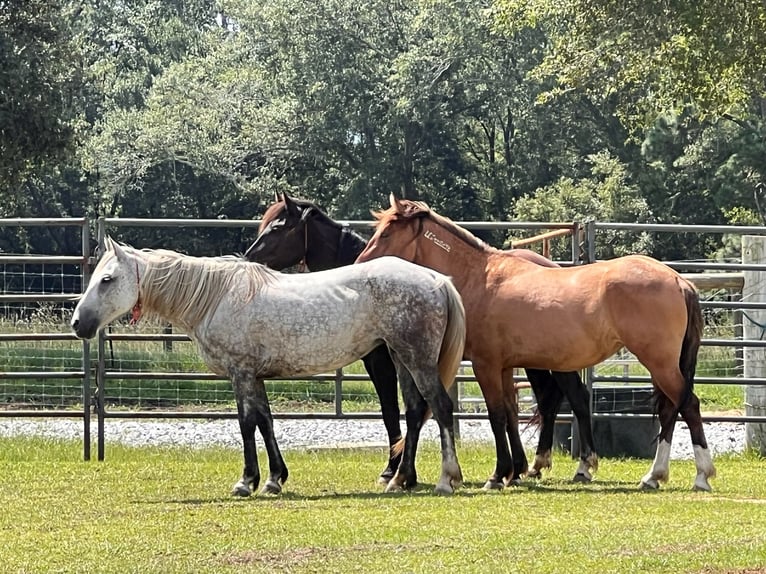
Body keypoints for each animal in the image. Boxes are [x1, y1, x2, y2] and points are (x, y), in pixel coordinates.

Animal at [71, 237, 467, 495]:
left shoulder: (240, 372)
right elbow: (266, 421)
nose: (78, 324)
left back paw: (446, 479)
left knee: (441, 407)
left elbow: (247, 424)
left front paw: (247, 482)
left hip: (417, 359)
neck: (216, 297)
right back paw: (400, 480)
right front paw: (275, 479)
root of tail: (436, 280)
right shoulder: (255, 376)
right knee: (415, 411)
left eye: (107, 279)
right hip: (402, 358)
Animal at [244, 192, 599, 486]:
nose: (249, 256)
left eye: (276, 228)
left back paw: (577, 466)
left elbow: (396, 411)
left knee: (575, 397)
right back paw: (535, 465)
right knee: (549, 399)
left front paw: (395, 469)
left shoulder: (387, 364)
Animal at [356, 194, 716, 492]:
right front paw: (513, 471)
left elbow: (495, 415)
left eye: (386, 233)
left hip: (659, 362)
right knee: (669, 410)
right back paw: (652, 476)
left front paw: (497, 475)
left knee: (688, 405)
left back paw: (700, 475)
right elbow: (510, 414)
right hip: (659, 365)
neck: (479, 278)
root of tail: (678, 280)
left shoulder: (486, 365)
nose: (359, 264)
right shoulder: (503, 367)